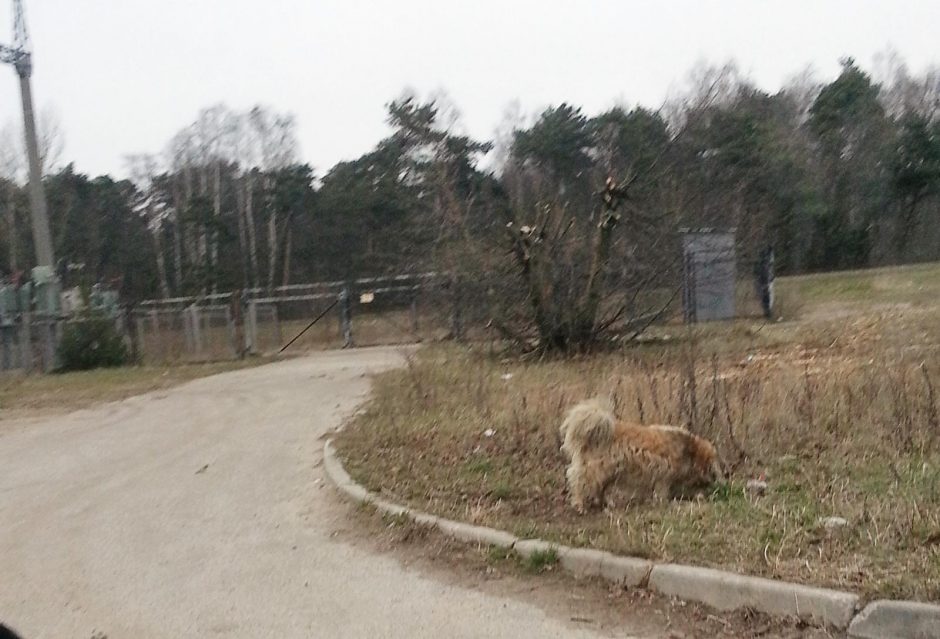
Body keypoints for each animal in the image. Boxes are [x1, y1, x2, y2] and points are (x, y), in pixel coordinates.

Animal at [560, 398, 724, 512]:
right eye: (712, 464)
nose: (721, 480)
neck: (689, 450)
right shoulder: (663, 477)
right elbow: (662, 493)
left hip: (608, 473)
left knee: (600, 488)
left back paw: (605, 503)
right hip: (594, 471)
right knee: (579, 483)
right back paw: (580, 505)